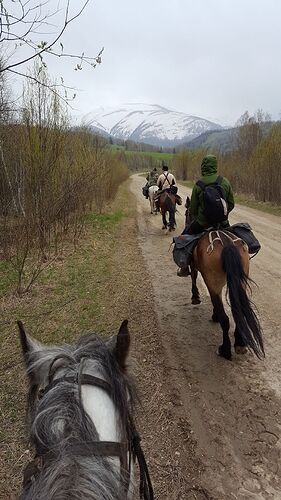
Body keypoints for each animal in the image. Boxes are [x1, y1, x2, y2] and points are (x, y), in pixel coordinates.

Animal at [184, 195, 262, 360]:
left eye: (187, 213)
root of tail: (227, 244)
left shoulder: (197, 268)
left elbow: (194, 277)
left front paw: (196, 298)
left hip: (214, 282)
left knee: (225, 318)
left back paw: (225, 349)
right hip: (240, 282)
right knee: (237, 311)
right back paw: (240, 343)